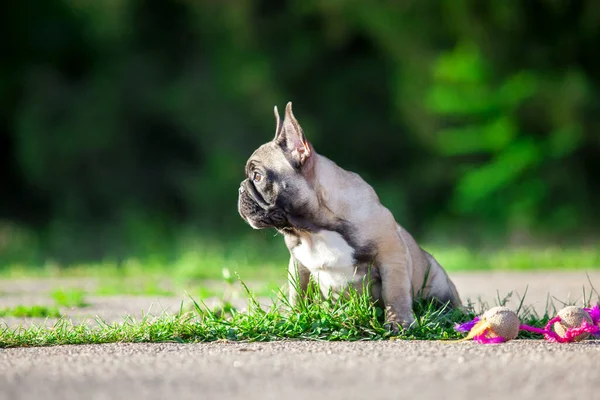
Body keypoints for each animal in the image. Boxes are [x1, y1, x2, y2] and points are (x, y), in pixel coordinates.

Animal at [237, 102, 462, 328]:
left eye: (257, 176)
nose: (239, 189)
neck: (313, 229)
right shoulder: (298, 263)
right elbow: (298, 293)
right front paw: (295, 316)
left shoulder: (391, 257)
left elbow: (395, 293)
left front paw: (399, 323)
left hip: (437, 281)